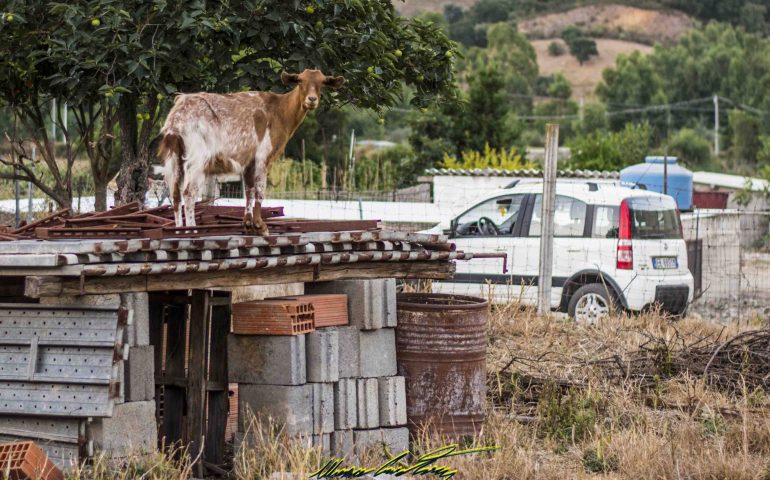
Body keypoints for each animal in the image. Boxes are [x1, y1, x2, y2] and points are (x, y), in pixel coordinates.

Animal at [158, 70, 344, 236]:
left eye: (322, 82)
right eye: (300, 80)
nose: (312, 99)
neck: (279, 111)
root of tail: (178, 116)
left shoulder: (249, 161)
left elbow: (249, 189)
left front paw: (248, 224)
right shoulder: (263, 156)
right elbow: (260, 189)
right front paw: (261, 226)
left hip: (175, 158)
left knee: (175, 194)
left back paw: (177, 230)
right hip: (197, 158)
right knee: (189, 193)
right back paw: (191, 230)